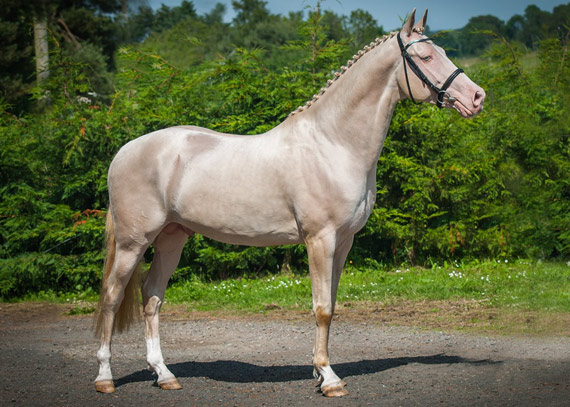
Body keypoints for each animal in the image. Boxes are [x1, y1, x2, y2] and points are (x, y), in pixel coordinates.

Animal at [94, 8, 484, 398]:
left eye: (442, 51)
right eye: (426, 57)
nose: (477, 97)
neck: (333, 143)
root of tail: (124, 151)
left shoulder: (344, 242)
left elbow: (332, 303)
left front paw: (320, 371)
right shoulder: (320, 239)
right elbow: (322, 308)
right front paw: (329, 378)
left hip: (171, 238)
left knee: (151, 297)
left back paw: (164, 375)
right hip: (133, 242)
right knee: (112, 295)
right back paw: (105, 378)